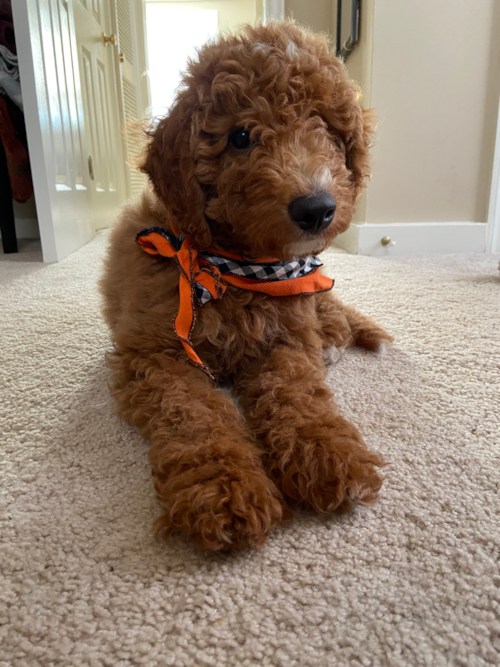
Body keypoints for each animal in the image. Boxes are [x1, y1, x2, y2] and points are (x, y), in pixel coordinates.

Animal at [99, 22, 392, 552]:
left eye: (325, 130)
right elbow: (194, 414)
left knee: (331, 304)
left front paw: (328, 453)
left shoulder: (287, 339)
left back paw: (337, 337)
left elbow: (297, 393)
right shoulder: (157, 357)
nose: (316, 208)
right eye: (239, 137)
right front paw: (224, 491)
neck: (233, 267)